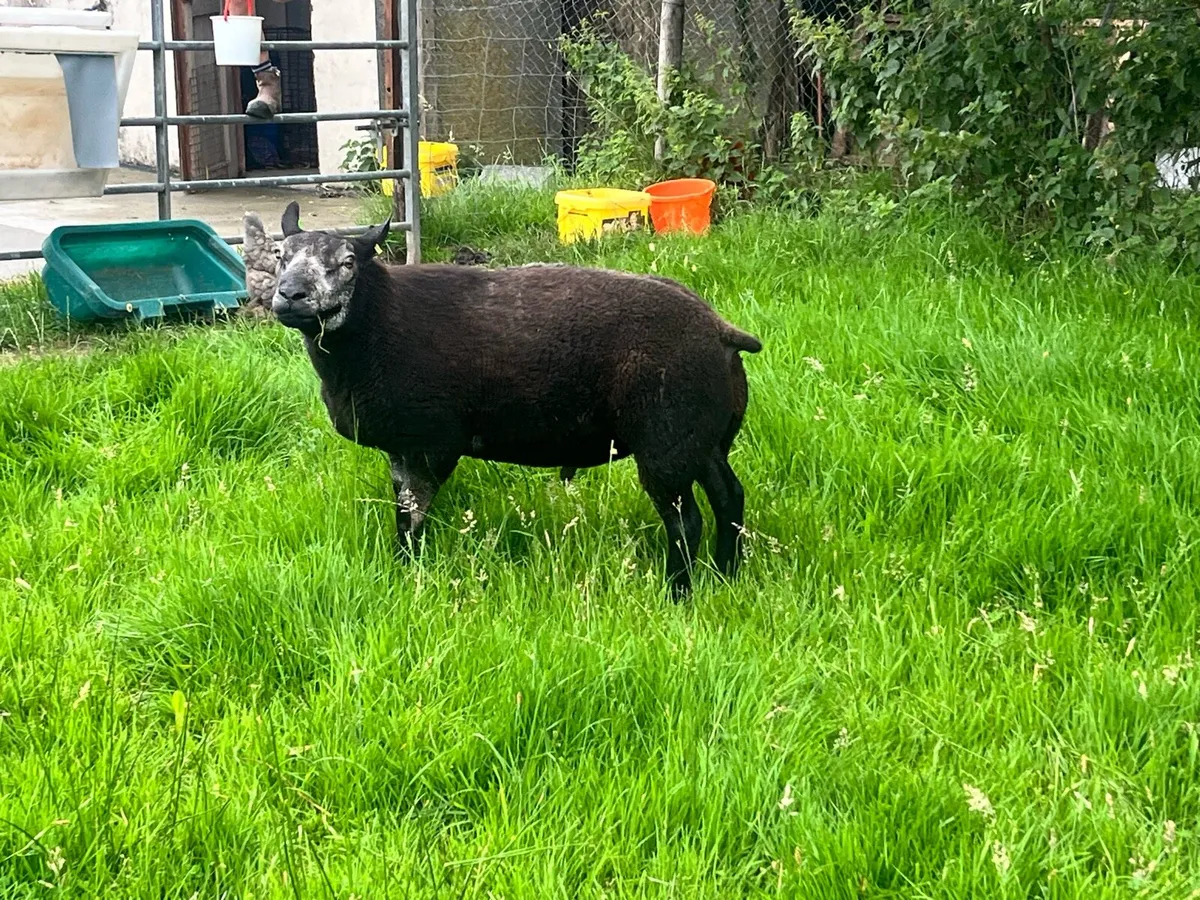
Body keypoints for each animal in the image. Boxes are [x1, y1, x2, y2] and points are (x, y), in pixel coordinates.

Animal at [269, 201, 761, 596]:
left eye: (348, 262)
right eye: (280, 257)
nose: (290, 295)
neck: (378, 322)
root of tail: (720, 330)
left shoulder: (432, 442)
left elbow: (414, 515)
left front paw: (410, 573)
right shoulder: (400, 446)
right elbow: (403, 514)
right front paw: (403, 566)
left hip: (667, 438)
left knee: (686, 522)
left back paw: (679, 592)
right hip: (705, 437)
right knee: (729, 498)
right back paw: (727, 575)